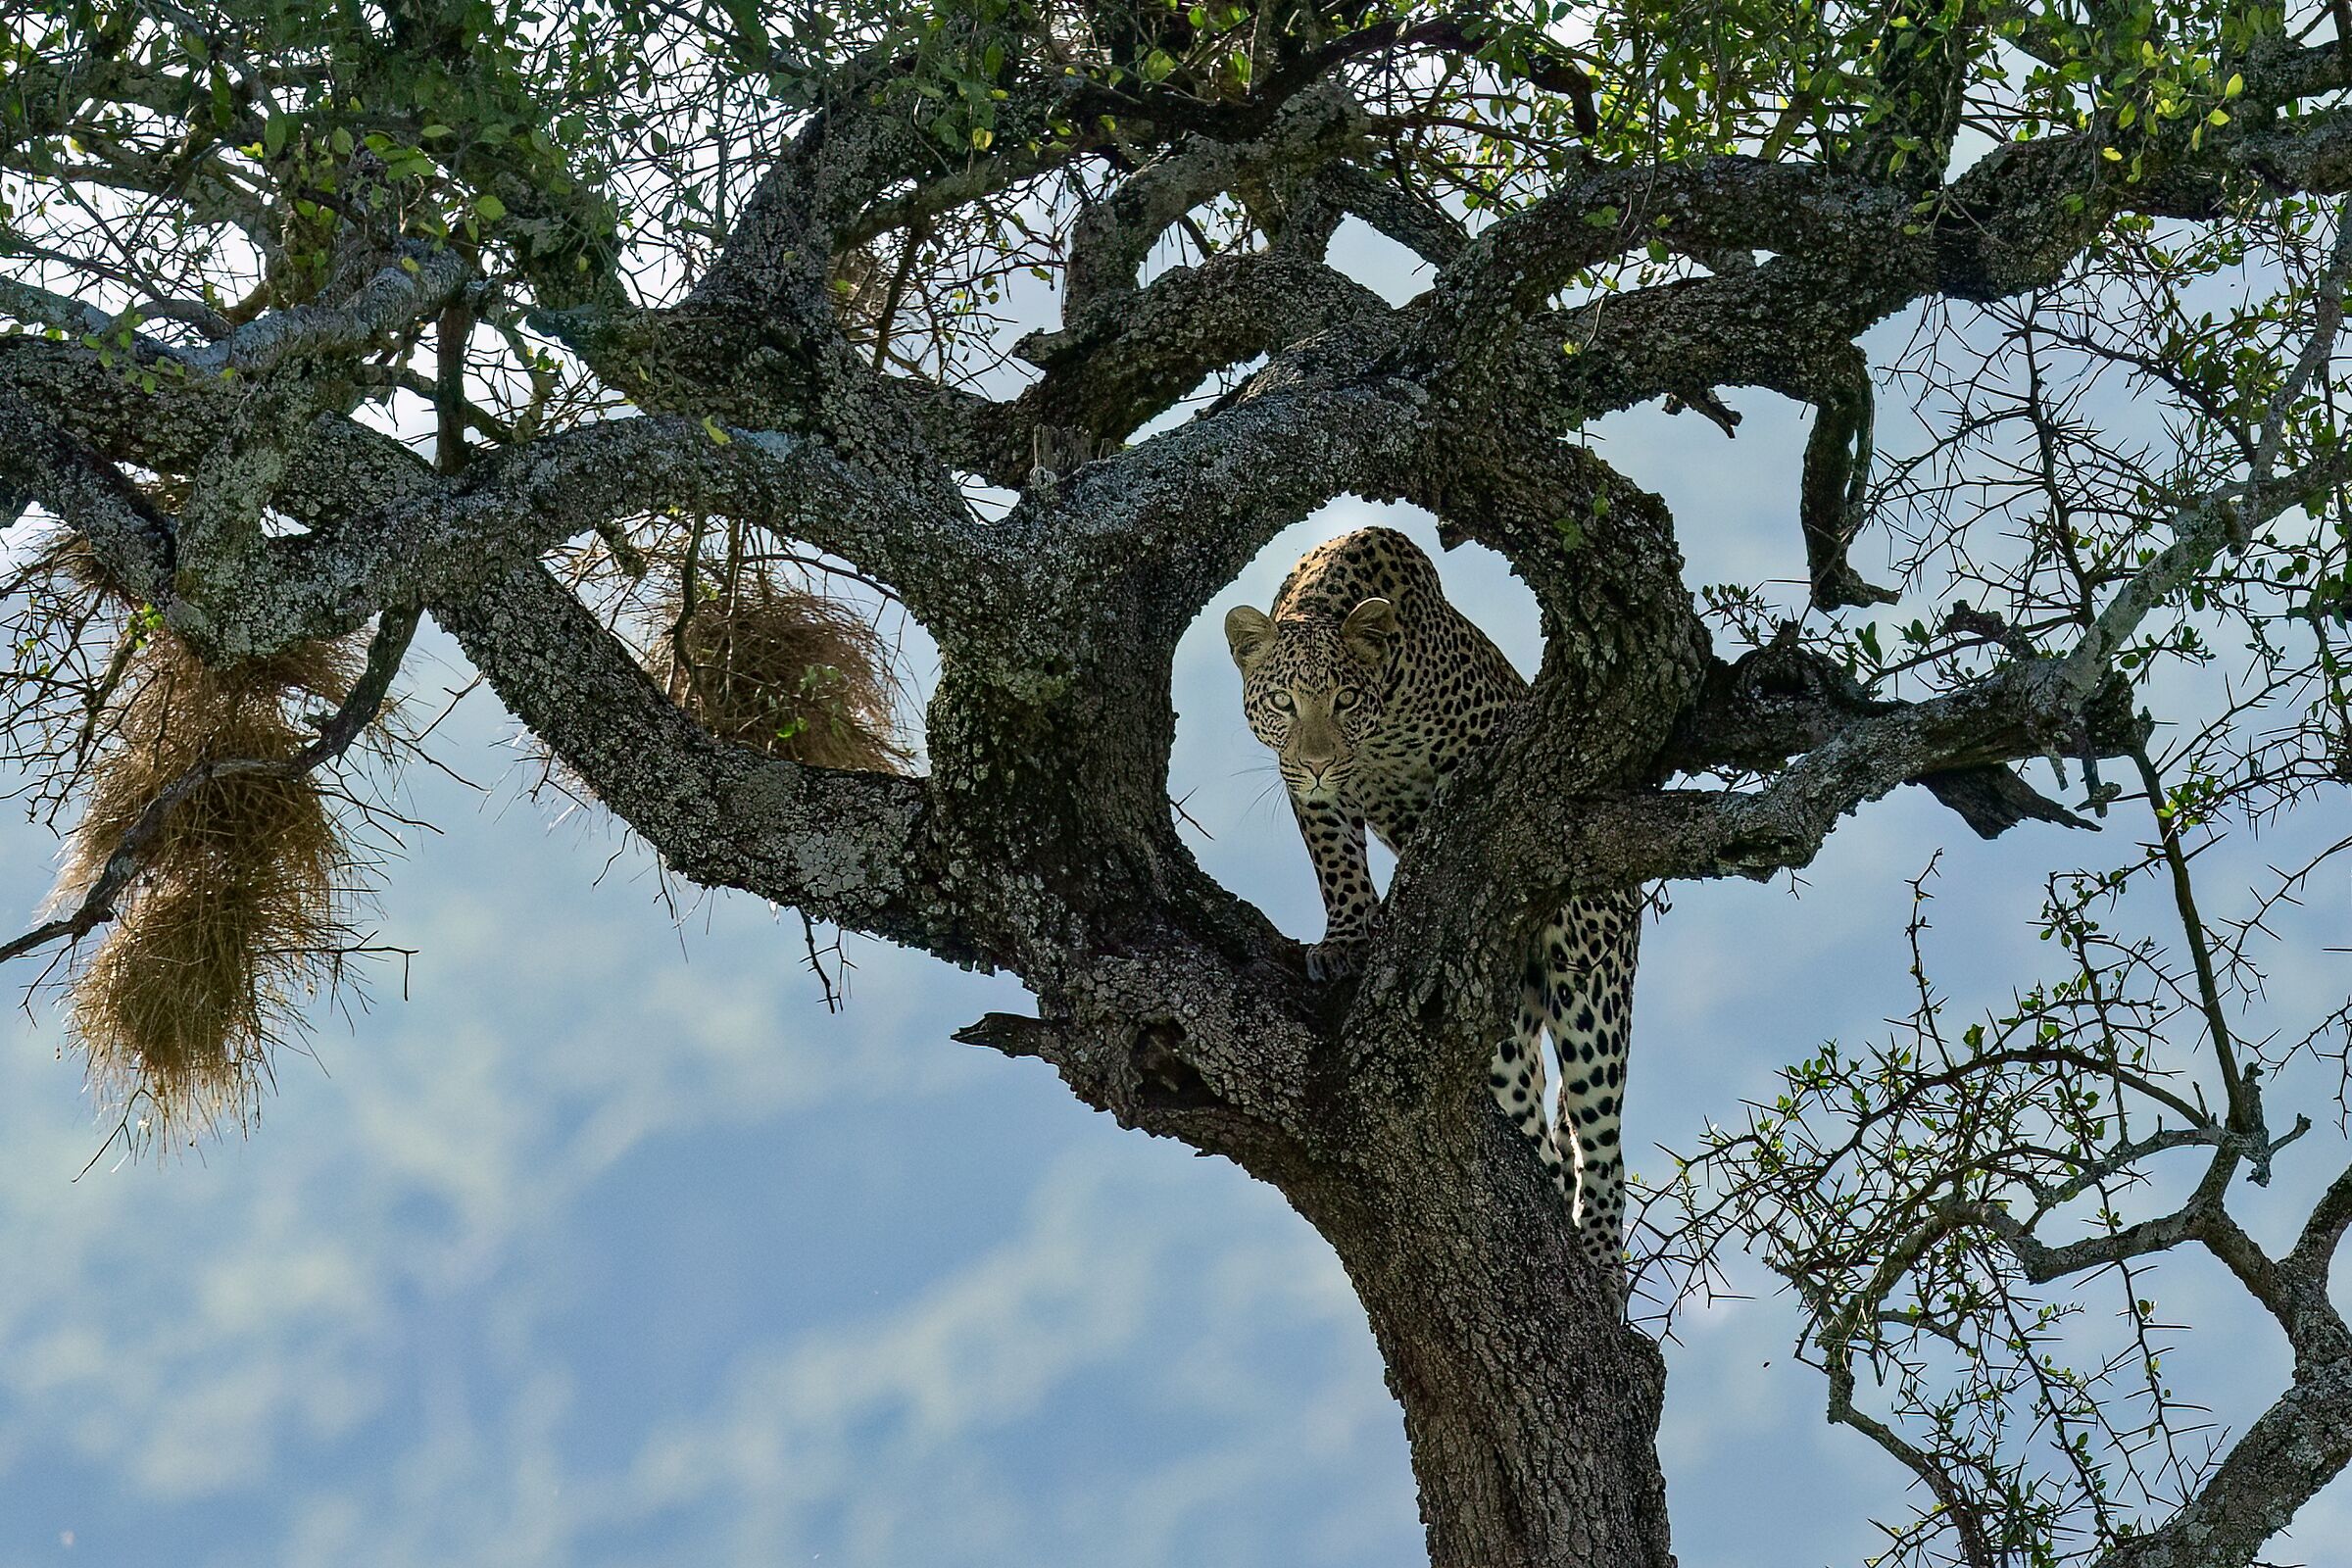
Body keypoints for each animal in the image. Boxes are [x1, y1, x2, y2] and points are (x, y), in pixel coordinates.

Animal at [1224, 526, 1642, 1277]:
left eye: (1344, 699)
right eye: (1283, 705)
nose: (1322, 761)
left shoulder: (1487, 758)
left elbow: (1464, 815)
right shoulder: (1309, 791)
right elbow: (1335, 859)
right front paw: (1348, 940)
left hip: (1591, 976)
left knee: (1601, 1142)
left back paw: (1597, 1255)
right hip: (1503, 1028)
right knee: (1543, 1140)